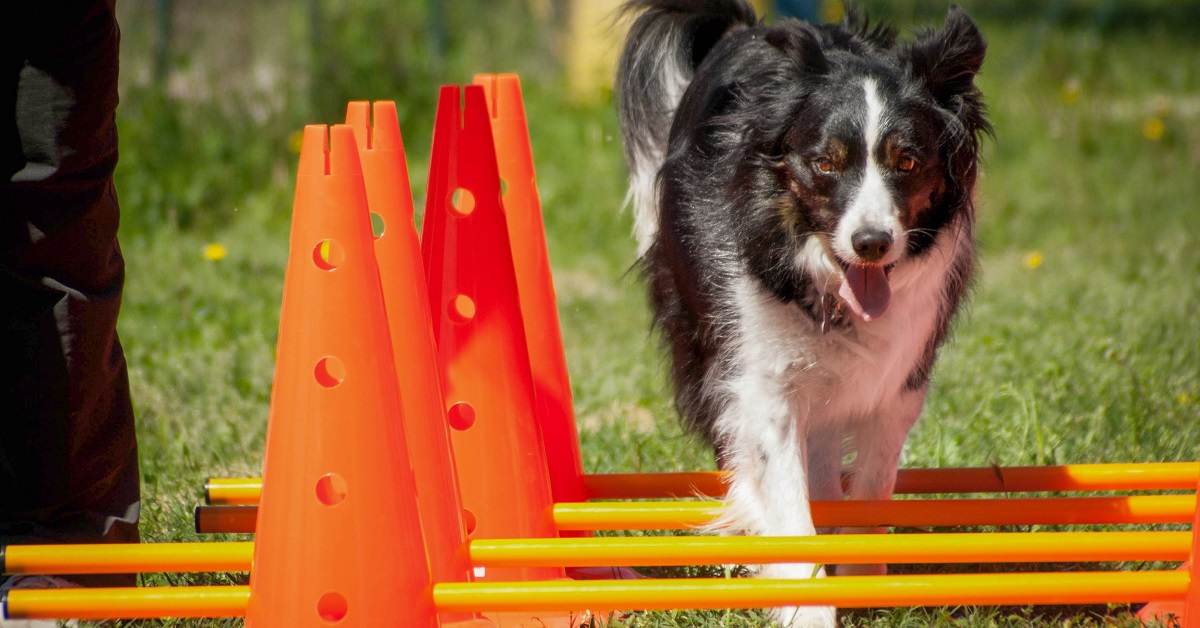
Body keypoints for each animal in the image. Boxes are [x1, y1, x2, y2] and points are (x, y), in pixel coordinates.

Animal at [614, 0, 988, 624]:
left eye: (907, 161)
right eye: (825, 164)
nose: (870, 243)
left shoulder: (901, 375)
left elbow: (874, 480)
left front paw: (861, 580)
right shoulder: (761, 376)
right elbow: (787, 501)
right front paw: (807, 604)